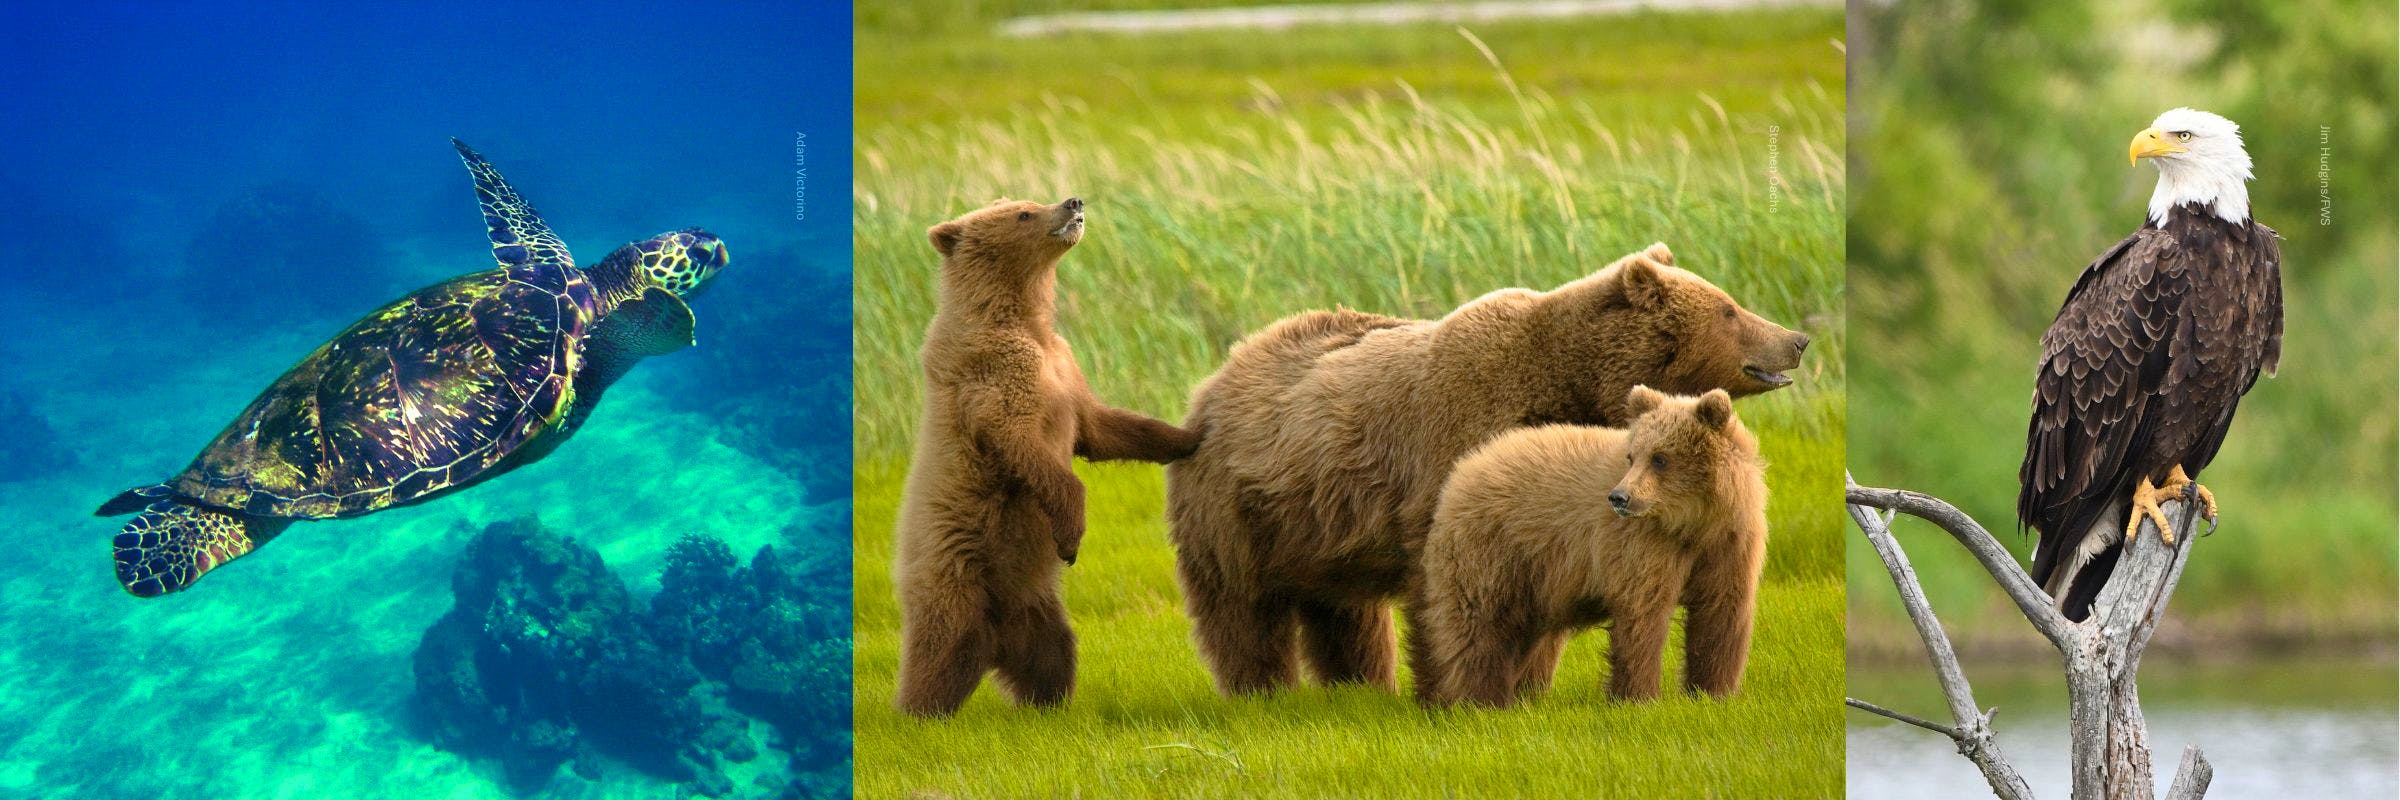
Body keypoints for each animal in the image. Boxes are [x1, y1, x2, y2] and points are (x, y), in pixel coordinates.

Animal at [892, 197, 1203, 718]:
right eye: (1022, 213)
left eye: (1030, 201)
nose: (1073, 202)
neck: (1023, 319)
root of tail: (994, 644)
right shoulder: (996, 374)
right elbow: (1024, 444)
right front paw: (1072, 535)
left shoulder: (1064, 367)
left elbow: (1102, 428)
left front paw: (1191, 435)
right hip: (955, 570)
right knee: (942, 648)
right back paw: (918, 712)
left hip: (1033, 603)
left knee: (1052, 650)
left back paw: (1048, 704)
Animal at [1414, 386, 1768, 707]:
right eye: (1632, 456)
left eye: (1660, 458)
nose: (1619, 497)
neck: (1694, 523)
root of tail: (1463, 469)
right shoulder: (1643, 544)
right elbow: (1643, 612)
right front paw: (1639, 696)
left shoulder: (1730, 542)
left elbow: (1721, 612)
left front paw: (1713, 692)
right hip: (1492, 551)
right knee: (1481, 623)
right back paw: (1483, 698)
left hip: (1537, 579)